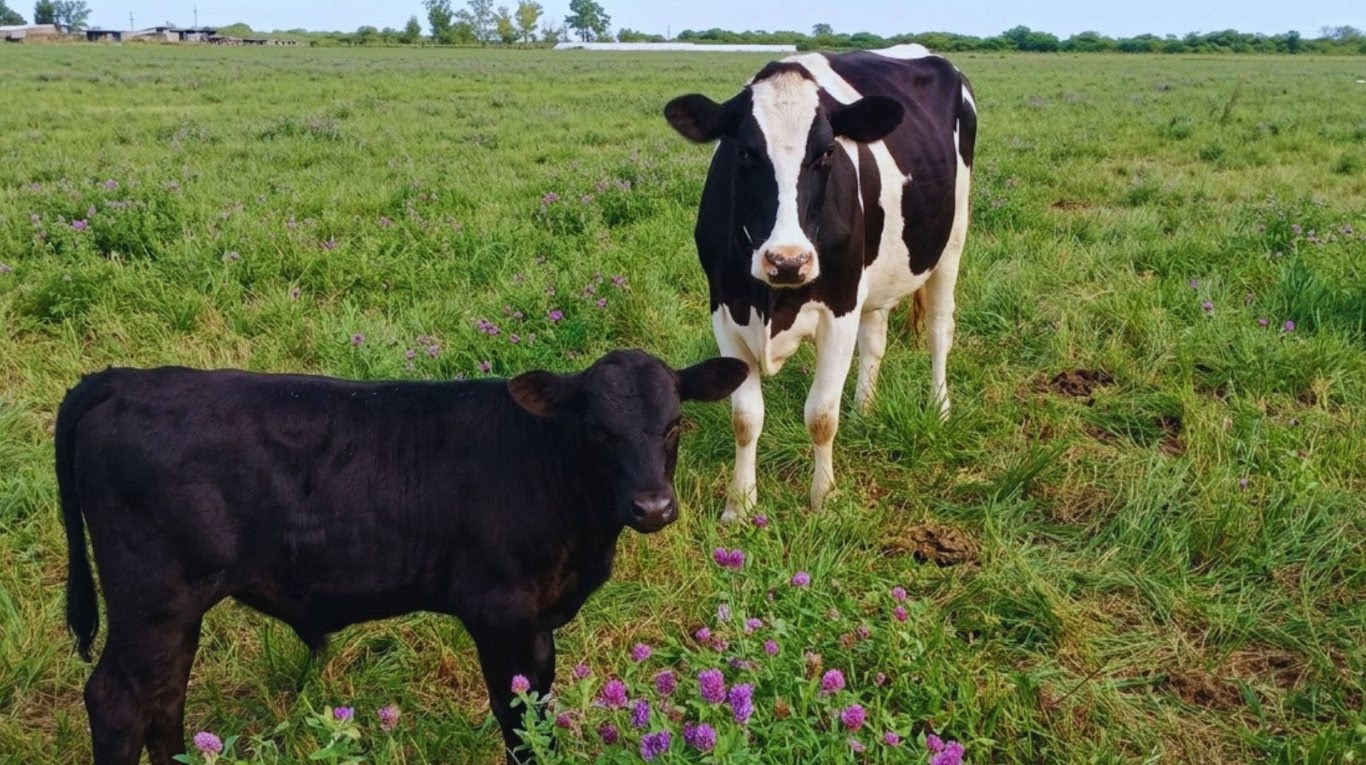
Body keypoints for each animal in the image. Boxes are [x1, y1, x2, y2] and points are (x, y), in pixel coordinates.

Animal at [56, 349, 747, 765]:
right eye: (597, 429)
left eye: (675, 424)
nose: (653, 506)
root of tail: (129, 379)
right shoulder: (502, 613)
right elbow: (517, 720)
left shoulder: (539, 624)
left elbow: (540, 711)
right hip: (152, 602)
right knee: (118, 702)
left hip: (174, 613)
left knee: (165, 696)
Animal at [663, 44, 977, 517]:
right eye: (745, 152)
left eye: (827, 152)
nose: (787, 261)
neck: (771, 299)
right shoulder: (725, 310)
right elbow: (745, 418)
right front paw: (740, 505)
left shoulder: (840, 309)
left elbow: (821, 415)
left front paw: (823, 499)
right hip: (875, 276)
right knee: (876, 339)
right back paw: (864, 410)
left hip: (951, 241)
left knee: (940, 329)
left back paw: (938, 408)